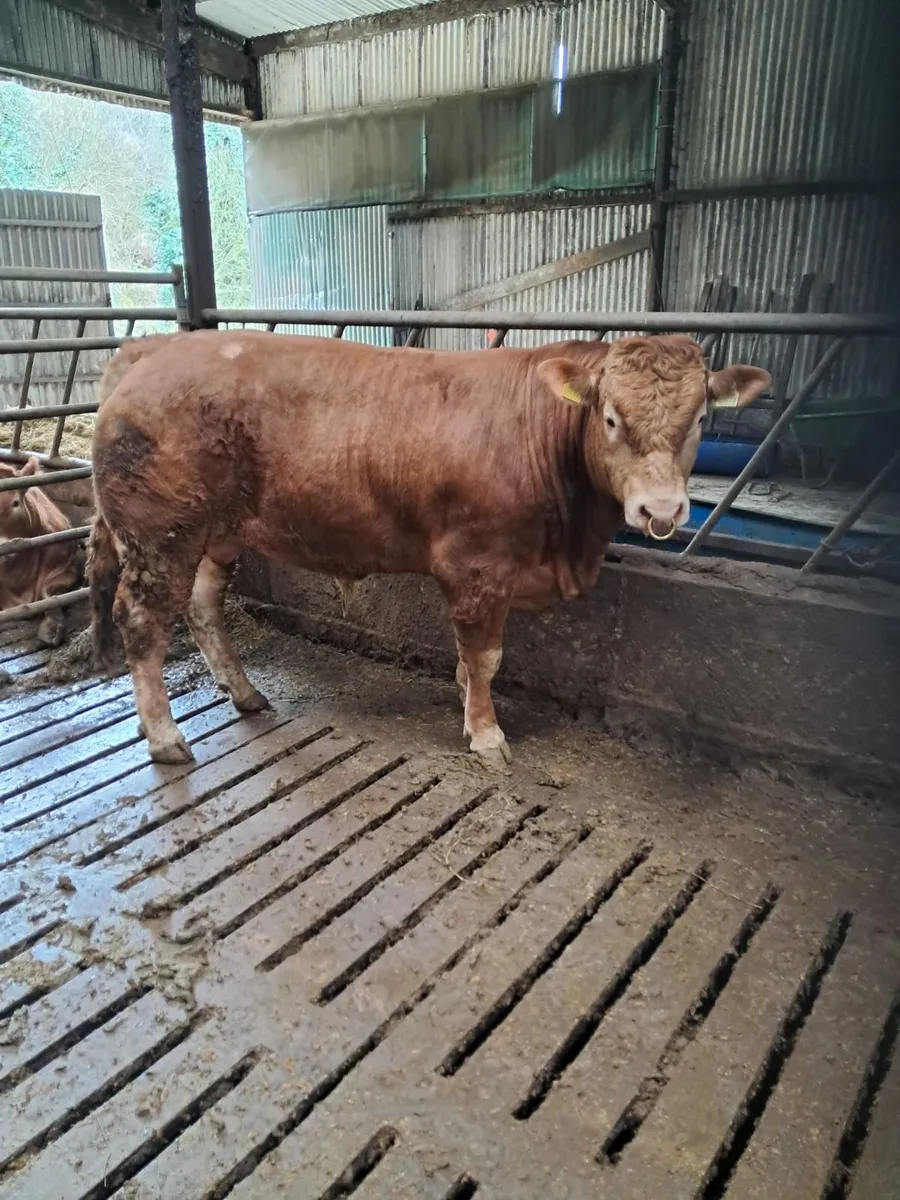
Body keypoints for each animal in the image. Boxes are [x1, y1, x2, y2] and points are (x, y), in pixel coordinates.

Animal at [89, 330, 770, 766]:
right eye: (609, 418)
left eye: (701, 419)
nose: (662, 510)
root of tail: (154, 346)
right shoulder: (475, 564)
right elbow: (486, 655)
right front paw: (486, 734)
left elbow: (470, 660)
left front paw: (467, 702)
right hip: (159, 537)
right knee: (141, 623)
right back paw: (166, 739)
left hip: (215, 534)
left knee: (203, 608)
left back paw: (246, 694)